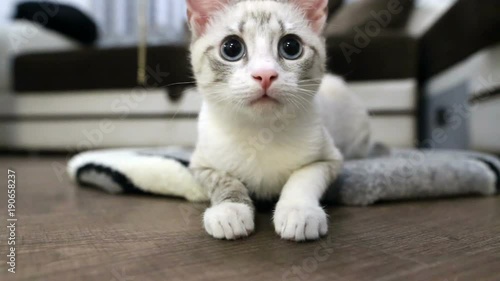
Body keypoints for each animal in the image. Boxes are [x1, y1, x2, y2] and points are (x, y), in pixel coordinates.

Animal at [186, 0, 374, 241]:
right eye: (231, 48)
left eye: (291, 47)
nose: (265, 74)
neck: (262, 132)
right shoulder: (200, 165)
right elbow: (224, 180)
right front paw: (230, 210)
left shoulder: (328, 159)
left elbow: (303, 177)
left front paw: (299, 211)